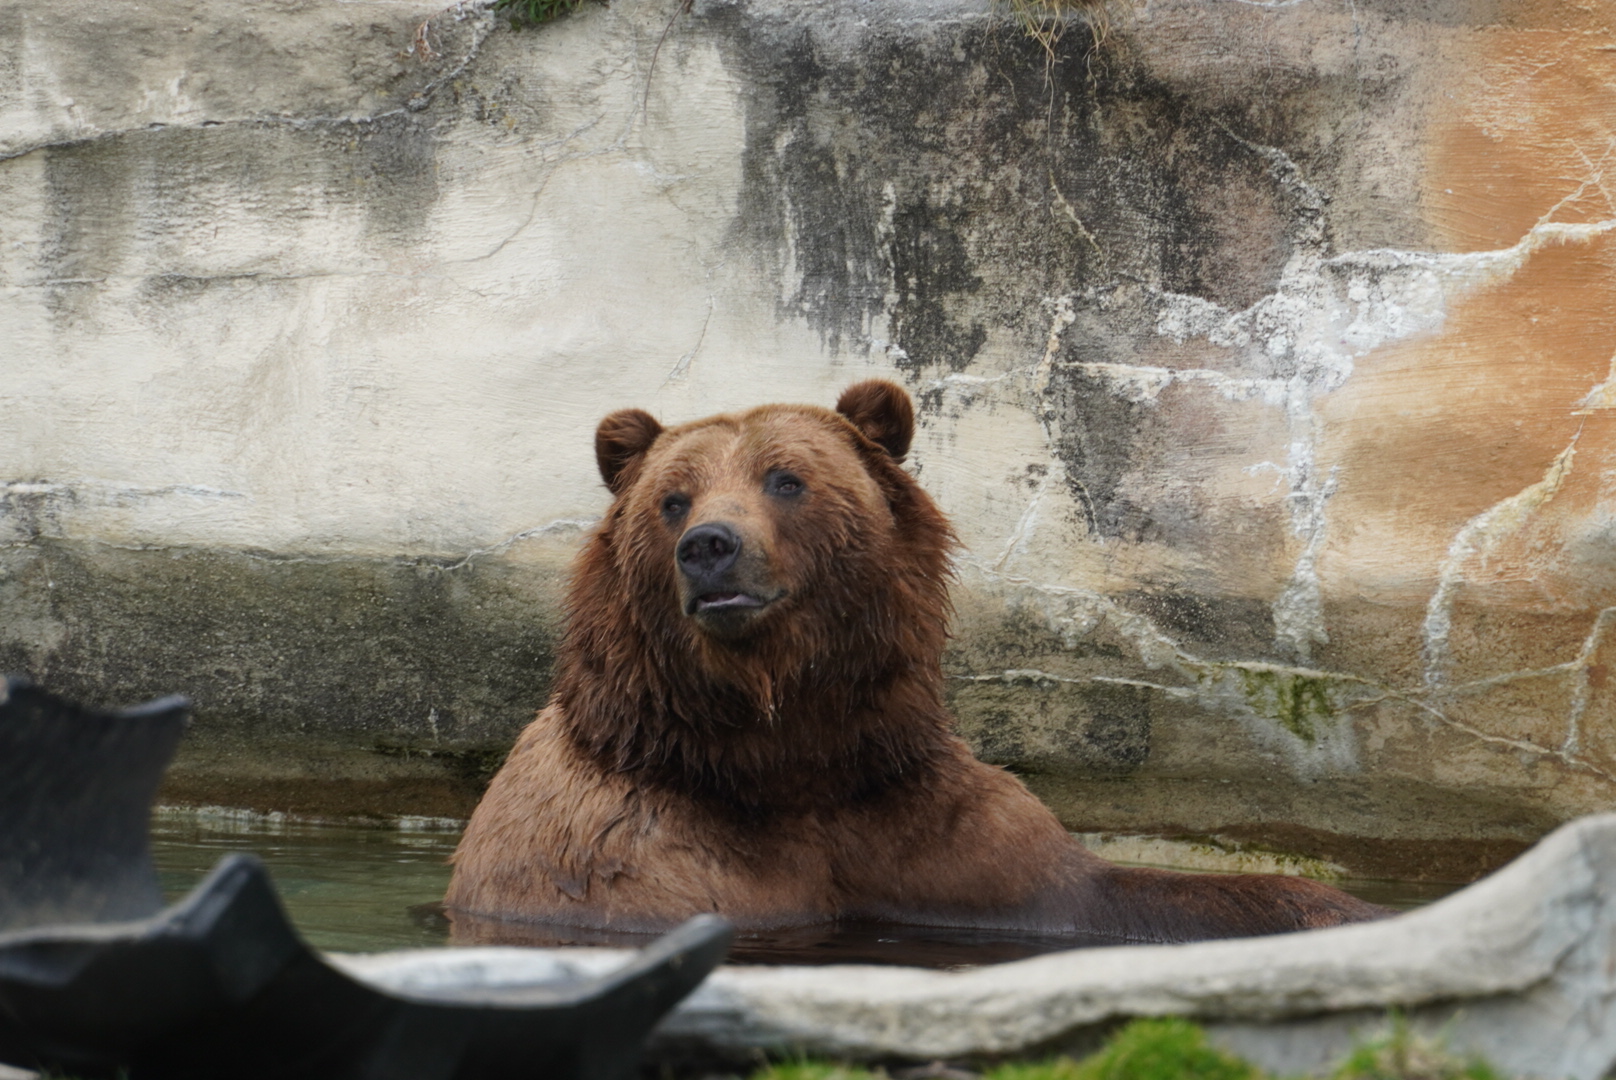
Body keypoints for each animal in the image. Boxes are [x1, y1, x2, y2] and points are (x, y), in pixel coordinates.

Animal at [444, 381, 1388, 944]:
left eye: (786, 479)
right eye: (672, 498)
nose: (709, 546)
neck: (782, 758)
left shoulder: (922, 825)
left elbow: (1109, 890)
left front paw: (1343, 908)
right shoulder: (622, 853)